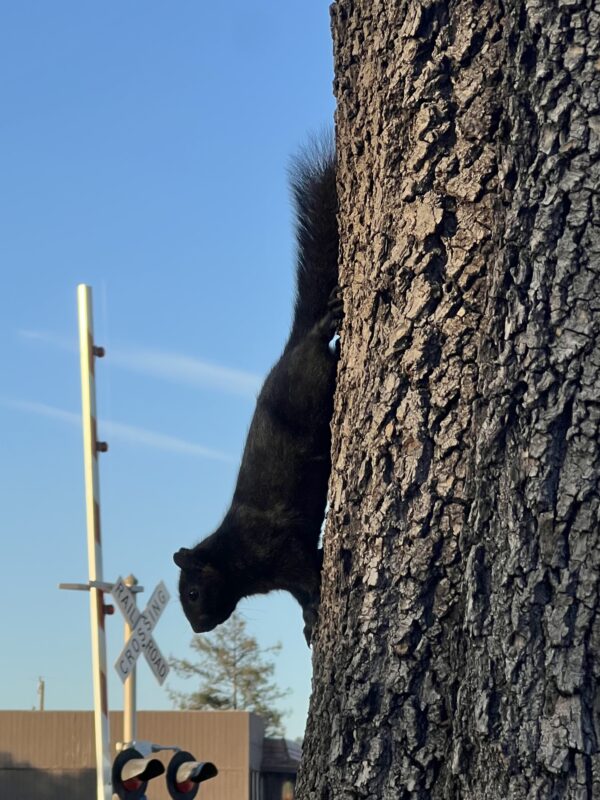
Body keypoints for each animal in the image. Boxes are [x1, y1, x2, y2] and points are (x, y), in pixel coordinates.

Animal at [173, 137, 340, 645]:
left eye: (191, 593)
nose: (200, 628)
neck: (236, 557)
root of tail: (292, 348)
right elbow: (303, 592)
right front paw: (310, 621)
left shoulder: (283, 548)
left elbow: (309, 573)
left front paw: (316, 608)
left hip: (314, 383)